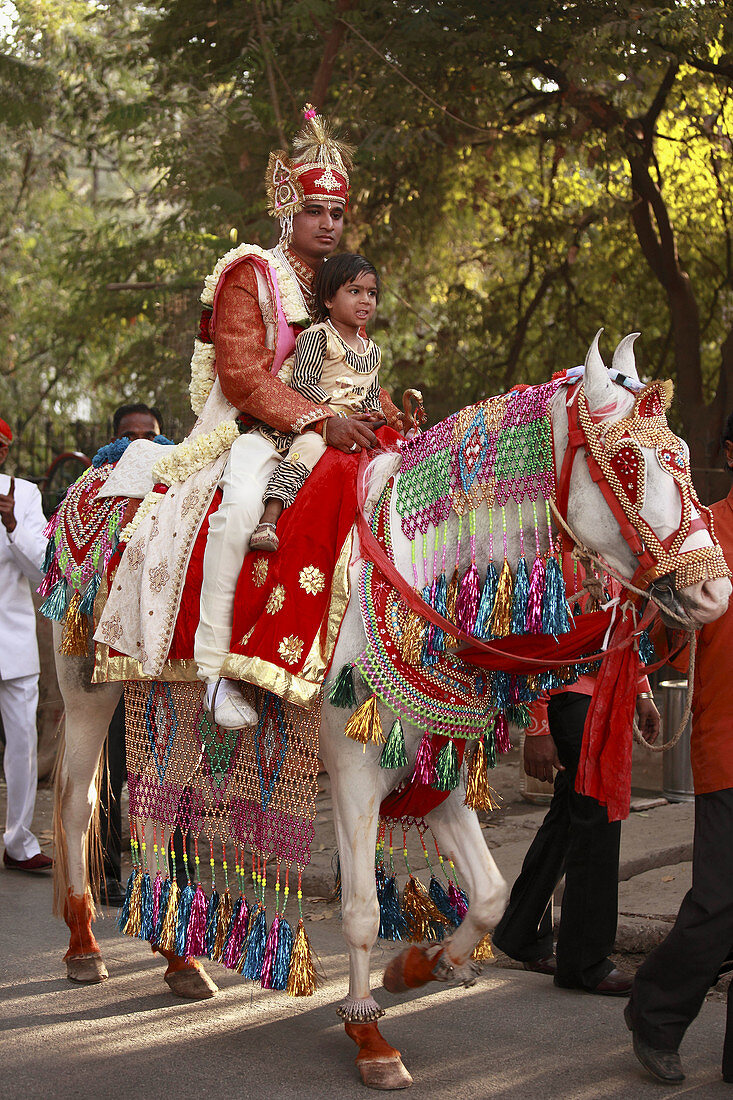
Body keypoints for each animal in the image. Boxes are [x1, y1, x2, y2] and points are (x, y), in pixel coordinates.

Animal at [48, 334, 726, 1091]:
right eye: (629, 464)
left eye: (683, 456)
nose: (713, 592)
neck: (416, 570)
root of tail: (93, 475)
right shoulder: (353, 771)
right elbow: (361, 910)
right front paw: (369, 1036)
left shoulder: (439, 765)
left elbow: (488, 895)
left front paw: (423, 967)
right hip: (85, 685)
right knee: (77, 803)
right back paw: (84, 945)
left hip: (169, 693)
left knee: (160, 815)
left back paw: (179, 960)